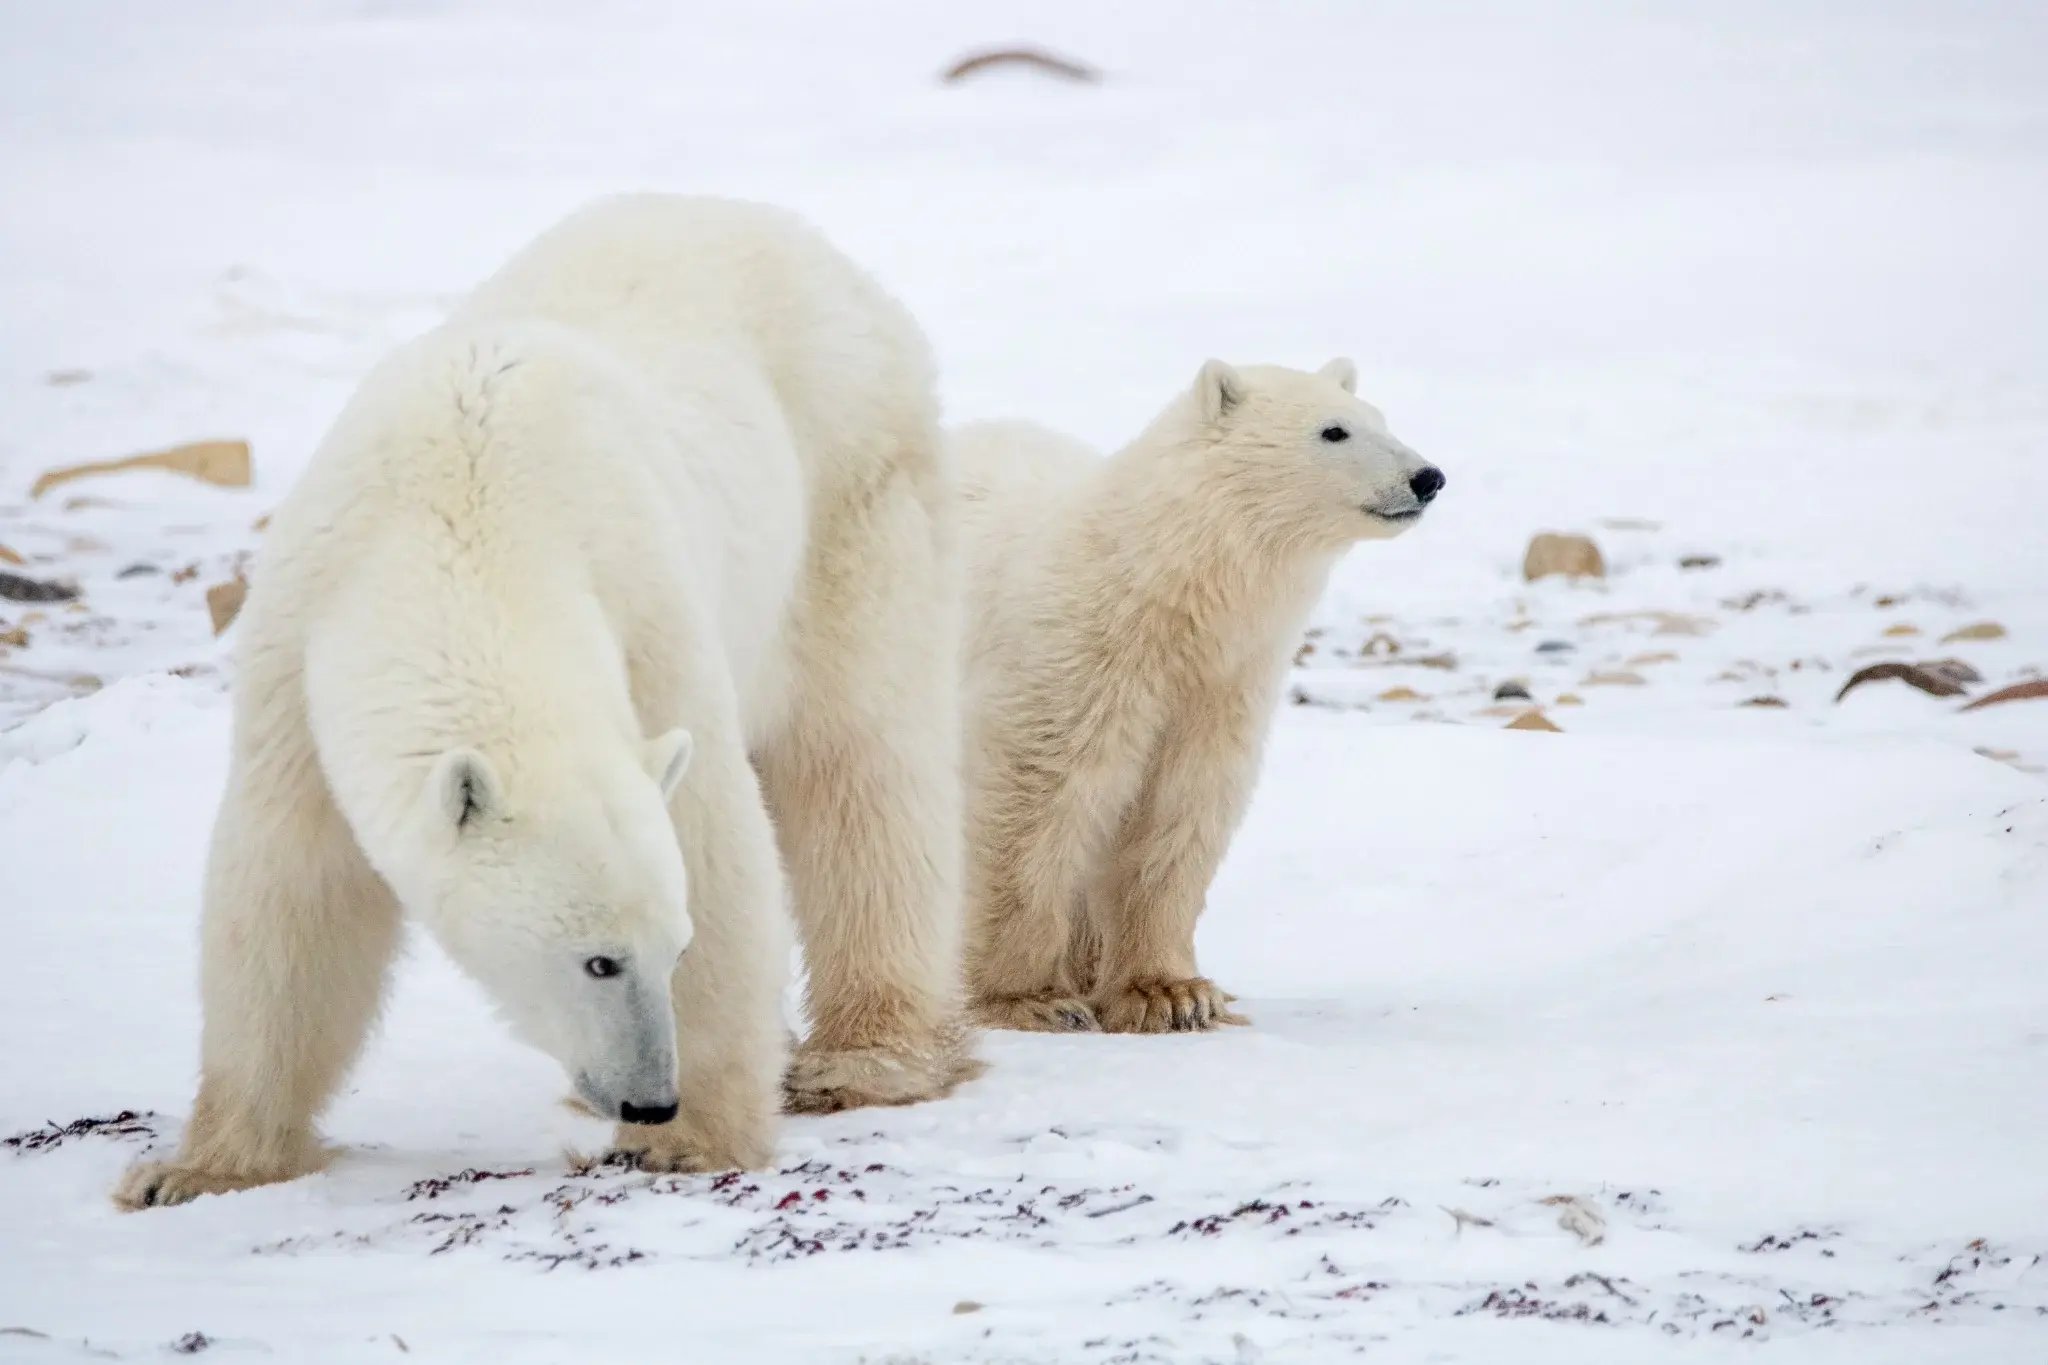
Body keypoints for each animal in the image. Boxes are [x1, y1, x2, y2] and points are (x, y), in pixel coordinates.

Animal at [114, 194, 977, 1209]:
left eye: (672, 947)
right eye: (599, 960)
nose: (649, 1095)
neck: (466, 515)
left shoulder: (647, 612)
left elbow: (715, 842)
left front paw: (693, 1139)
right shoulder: (300, 646)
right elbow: (292, 892)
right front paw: (196, 1170)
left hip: (850, 494)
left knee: (861, 764)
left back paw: (867, 1055)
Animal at [955, 359, 1444, 1034]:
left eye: (1380, 418)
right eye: (1334, 430)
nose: (1428, 478)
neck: (1156, 586)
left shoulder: (1220, 684)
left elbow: (1182, 806)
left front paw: (1170, 993)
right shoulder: (1075, 656)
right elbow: (1037, 796)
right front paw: (1027, 998)